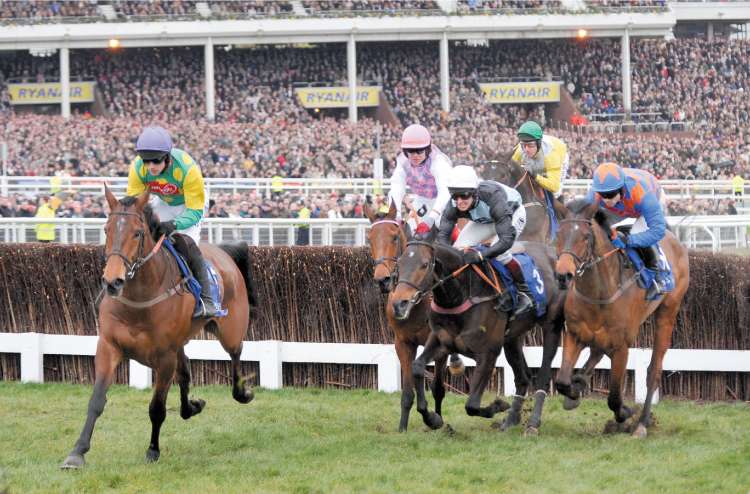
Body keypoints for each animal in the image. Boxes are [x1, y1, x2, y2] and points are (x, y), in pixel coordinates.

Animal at [60, 185, 258, 466]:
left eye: (137, 232)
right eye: (106, 229)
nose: (113, 281)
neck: (138, 301)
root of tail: (224, 253)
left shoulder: (164, 358)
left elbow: (157, 408)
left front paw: (153, 450)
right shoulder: (109, 346)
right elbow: (97, 400)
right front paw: (77, 452)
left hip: (229, 330)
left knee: (236, 353)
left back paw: (242, 393)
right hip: (180, 343)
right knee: (185, 373)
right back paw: (191, 407)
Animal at [364, 203, 464, 430]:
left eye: (394, 237)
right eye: (369, 238)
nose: (382, 280)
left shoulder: (437, 343)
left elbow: (437, 386)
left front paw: (435, 419)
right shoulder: (403, 342)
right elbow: (410, 387)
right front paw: (403, 426)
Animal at [390, 235, 568, 432]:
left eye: (425, 264)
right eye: (399, 263)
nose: (399, 304)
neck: (461, 295)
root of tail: (554, 253)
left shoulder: (487, 353)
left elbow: (472, 405)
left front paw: (498, 405)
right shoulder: (441, 342)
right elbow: (417, 367)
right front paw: (432, 419)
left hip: (551, 327)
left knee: (542, 376)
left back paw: (532, 423)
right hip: (512, 338)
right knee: (523, 377)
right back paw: (511, 420)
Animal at [556, 199, 692, 438]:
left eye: (585, 237)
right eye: (559, 234)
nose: (563, 275)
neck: (598, 293)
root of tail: (672, 236)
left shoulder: (622, 347)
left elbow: (614, 397)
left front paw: (625, 413)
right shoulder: (573, 334)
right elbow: (562, 381)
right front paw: (573, 391)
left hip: (667, 312)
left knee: (653, 371)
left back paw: (642, 424)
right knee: (596, 352)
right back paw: (580, 381)